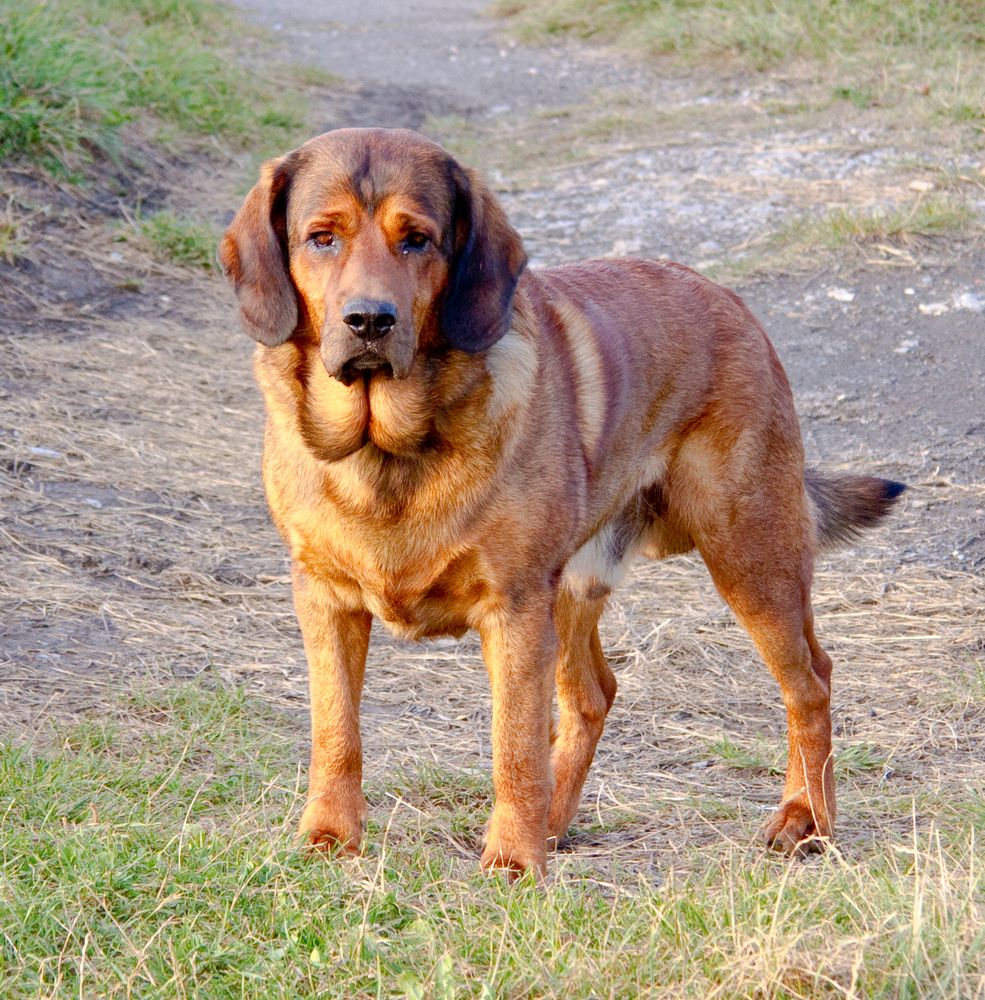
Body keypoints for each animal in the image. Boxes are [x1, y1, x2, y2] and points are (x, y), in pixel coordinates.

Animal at [219, 127, 904, 876]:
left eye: (418, 240)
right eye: (322, 238)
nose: (370, 320)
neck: (389, 451)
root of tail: (731, 301)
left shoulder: (515, 608)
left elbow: (514, 746)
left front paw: (513, 862)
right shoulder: (324, 599)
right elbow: (336, 731)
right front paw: (328, 837)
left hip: (748, 554)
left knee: (809, 681)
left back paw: (805, 818)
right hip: (579, 584)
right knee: (595, 694)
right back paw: (555, 820)